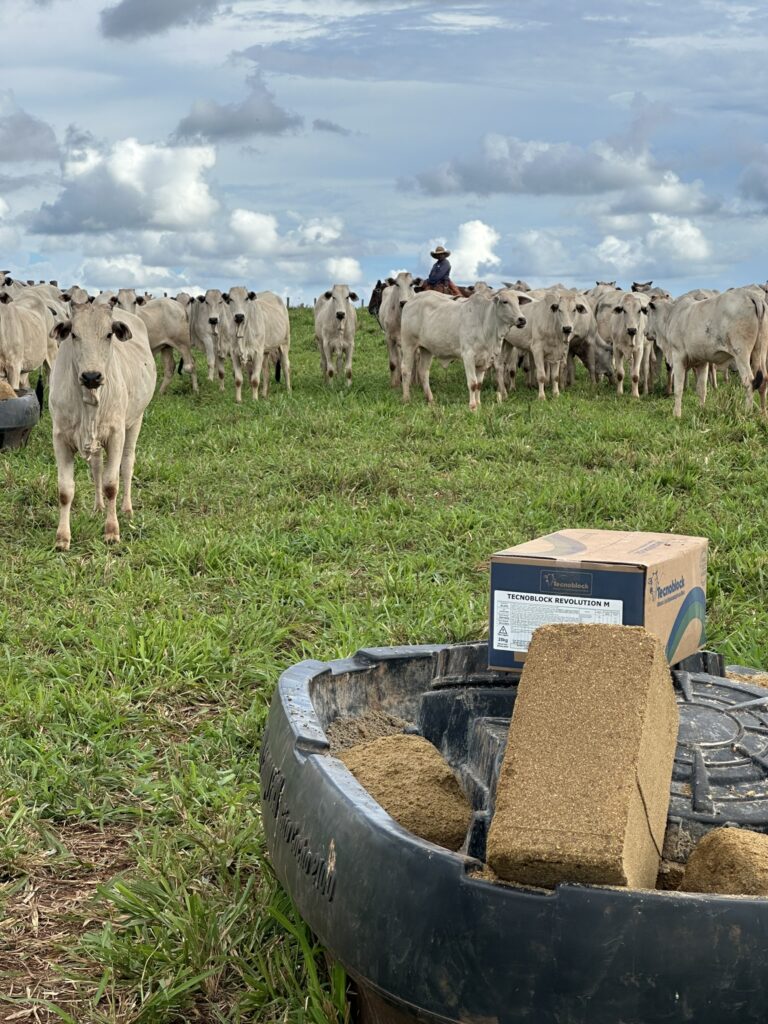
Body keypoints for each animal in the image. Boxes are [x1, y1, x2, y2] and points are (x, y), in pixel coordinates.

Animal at [48, 299, 157, 548]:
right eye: (74, 334)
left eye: (109, 334)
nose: (91, 376)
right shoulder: (60, 437)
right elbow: (65, 490)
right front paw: (62, 538)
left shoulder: (116, 434)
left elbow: (111, 484)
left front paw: (111, 531)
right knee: (96, 467)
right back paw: (98, 507)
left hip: (135, 421)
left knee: (127, 464)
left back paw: (126, 509)